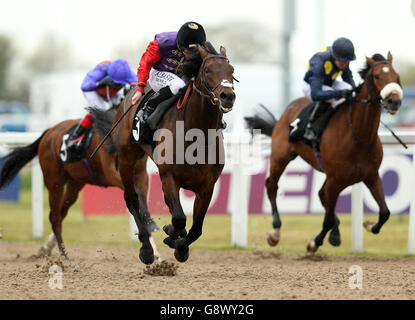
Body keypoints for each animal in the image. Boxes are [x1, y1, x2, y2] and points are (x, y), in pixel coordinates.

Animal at [0, 109, 161, 260]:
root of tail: (49, 132)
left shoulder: (141, 175)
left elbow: (141, 199)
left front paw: (155, 248)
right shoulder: (113, 174)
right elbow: (136, 197)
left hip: (75, 184)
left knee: (61, 213)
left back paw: (47, 248)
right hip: (54, 182)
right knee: (55, 216)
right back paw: (64, 254)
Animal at [104, 43, 237, 264]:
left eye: (232, 71)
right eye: (207, 70)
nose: (227, 96)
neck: (197, 135)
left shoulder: (207, 186)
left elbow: (196, 228)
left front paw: (179, 245)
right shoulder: (169, 177)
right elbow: (180, 218)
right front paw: (172, 238)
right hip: (127, 159)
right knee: (132, 199)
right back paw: (147, 249)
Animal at [247, 52, 404, 252]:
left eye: (396, 76)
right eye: (376, 76)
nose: (394, 101)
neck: (358, 137)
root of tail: (287, 110)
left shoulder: (370, 176)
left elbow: (385, 212)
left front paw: (368, 225)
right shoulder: (335, 179)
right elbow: (327, 219)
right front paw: (314, 243)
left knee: (321, 195)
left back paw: (335, 234)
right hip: (280, 157)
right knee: (272, 186)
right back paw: (275, 232)